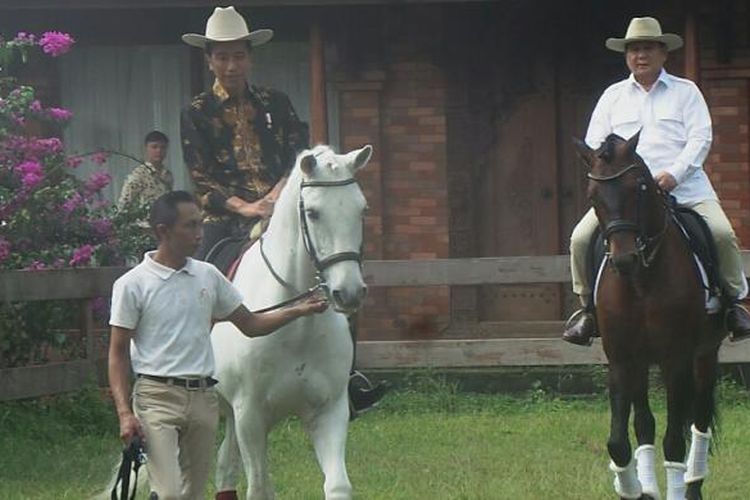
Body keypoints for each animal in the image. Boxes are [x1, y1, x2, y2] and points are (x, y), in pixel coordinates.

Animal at [210, 145, 374, 500]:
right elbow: (259, 487)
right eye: (313, 213)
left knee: (225, 465)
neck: (295, 324)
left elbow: (338, 485)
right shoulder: (250, 416)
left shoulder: (329, 411)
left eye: (362, 210)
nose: (349, 293)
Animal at [576, 134, 728, 500]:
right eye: (593, 196)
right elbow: (620, 441)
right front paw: (630, 487)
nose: (624, 259)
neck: (641, 281)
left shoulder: (677, 359)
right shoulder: (621, 359)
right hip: (643, 361)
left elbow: (674, 442)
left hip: (705, 354)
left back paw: (692, 485)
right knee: (644, 423)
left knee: (699, 420)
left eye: (639, 187)